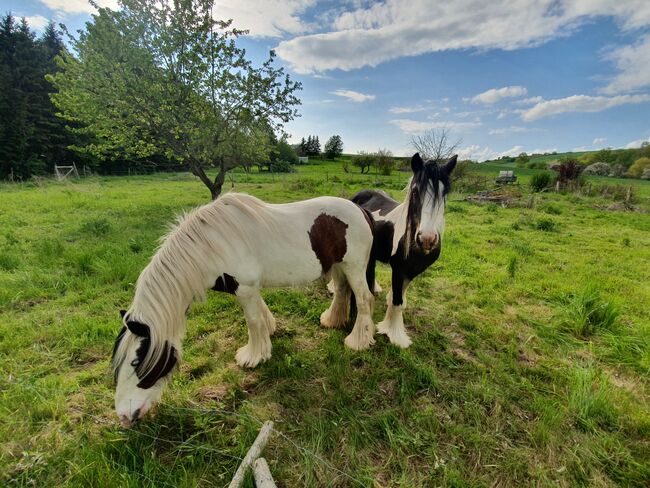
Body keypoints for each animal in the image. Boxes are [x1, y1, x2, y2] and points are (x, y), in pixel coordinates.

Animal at [112, 192, 374, 428]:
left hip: (354, 267)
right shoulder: (251, 289)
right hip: (339, 266)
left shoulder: (245, 288)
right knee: (341, 290)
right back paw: (333, 321)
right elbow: (261, 314)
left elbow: (252, 321)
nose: (123, 416)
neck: (211, 246)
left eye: (135, 362)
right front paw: (268, 335)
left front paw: (253, 356)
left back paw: (358, 341)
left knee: (364, 300)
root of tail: (360, 210)